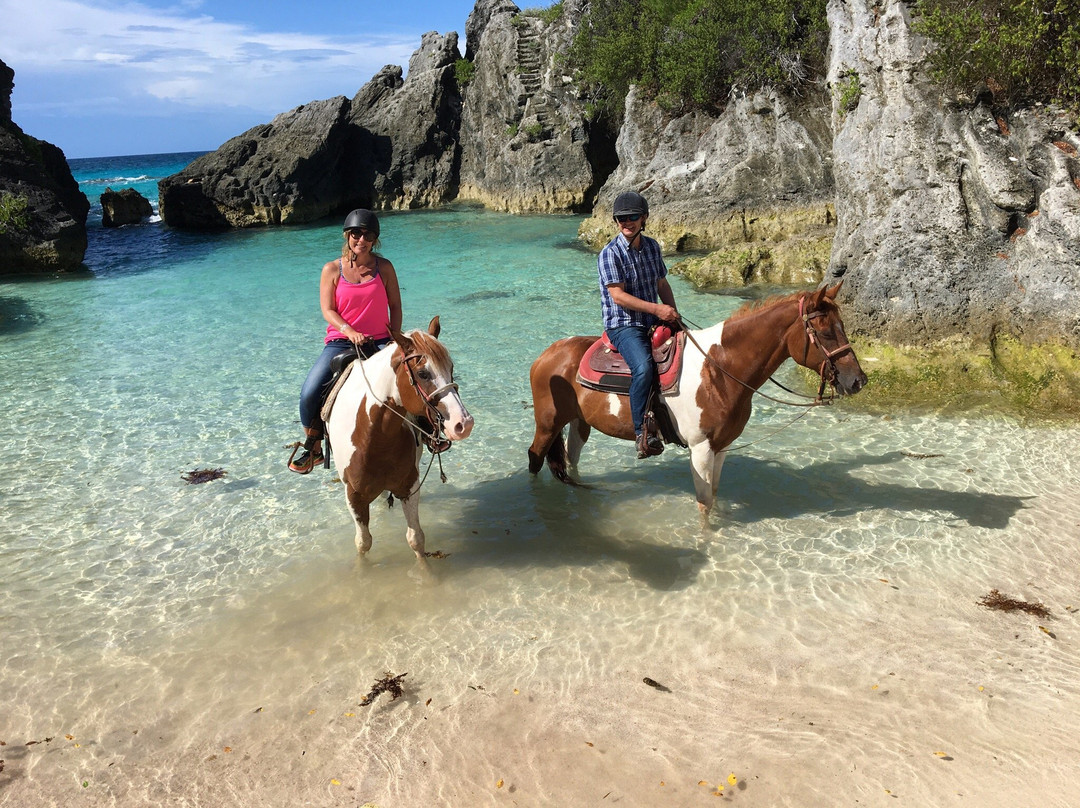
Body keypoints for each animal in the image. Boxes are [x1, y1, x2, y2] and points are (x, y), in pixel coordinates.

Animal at [326, 316, 474, 559]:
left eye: (451, 368)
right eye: (423, 373)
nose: (464, 423)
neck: (374, 436)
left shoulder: (409, 487)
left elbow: (416, 539)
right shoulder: (354, 496)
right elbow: (363, 543)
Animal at [527, 283, 867, 515]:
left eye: (842, 327)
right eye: (825, 332)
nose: (858, 381)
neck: (720, 369)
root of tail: (547, 354)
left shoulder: (721, 446)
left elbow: (713, 495)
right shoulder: (701, 448)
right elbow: (704, 504)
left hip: (578, 422)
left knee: (571, 459)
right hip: (547, 422)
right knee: (535, 457)